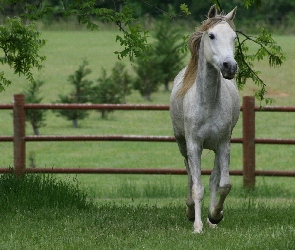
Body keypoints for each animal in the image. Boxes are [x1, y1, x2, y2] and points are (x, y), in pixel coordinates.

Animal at [171, 4, 240, 233]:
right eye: (211, 35)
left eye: (234, 37)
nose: (230, 67)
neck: (208, 103)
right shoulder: (194, 145)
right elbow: (197, 187)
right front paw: (197, 226)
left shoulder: (223, 144)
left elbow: (223, 185)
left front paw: (215, 216)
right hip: (183, 145)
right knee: (190, 176)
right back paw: (191, 211)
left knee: (213, 180)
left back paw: (211, 220)